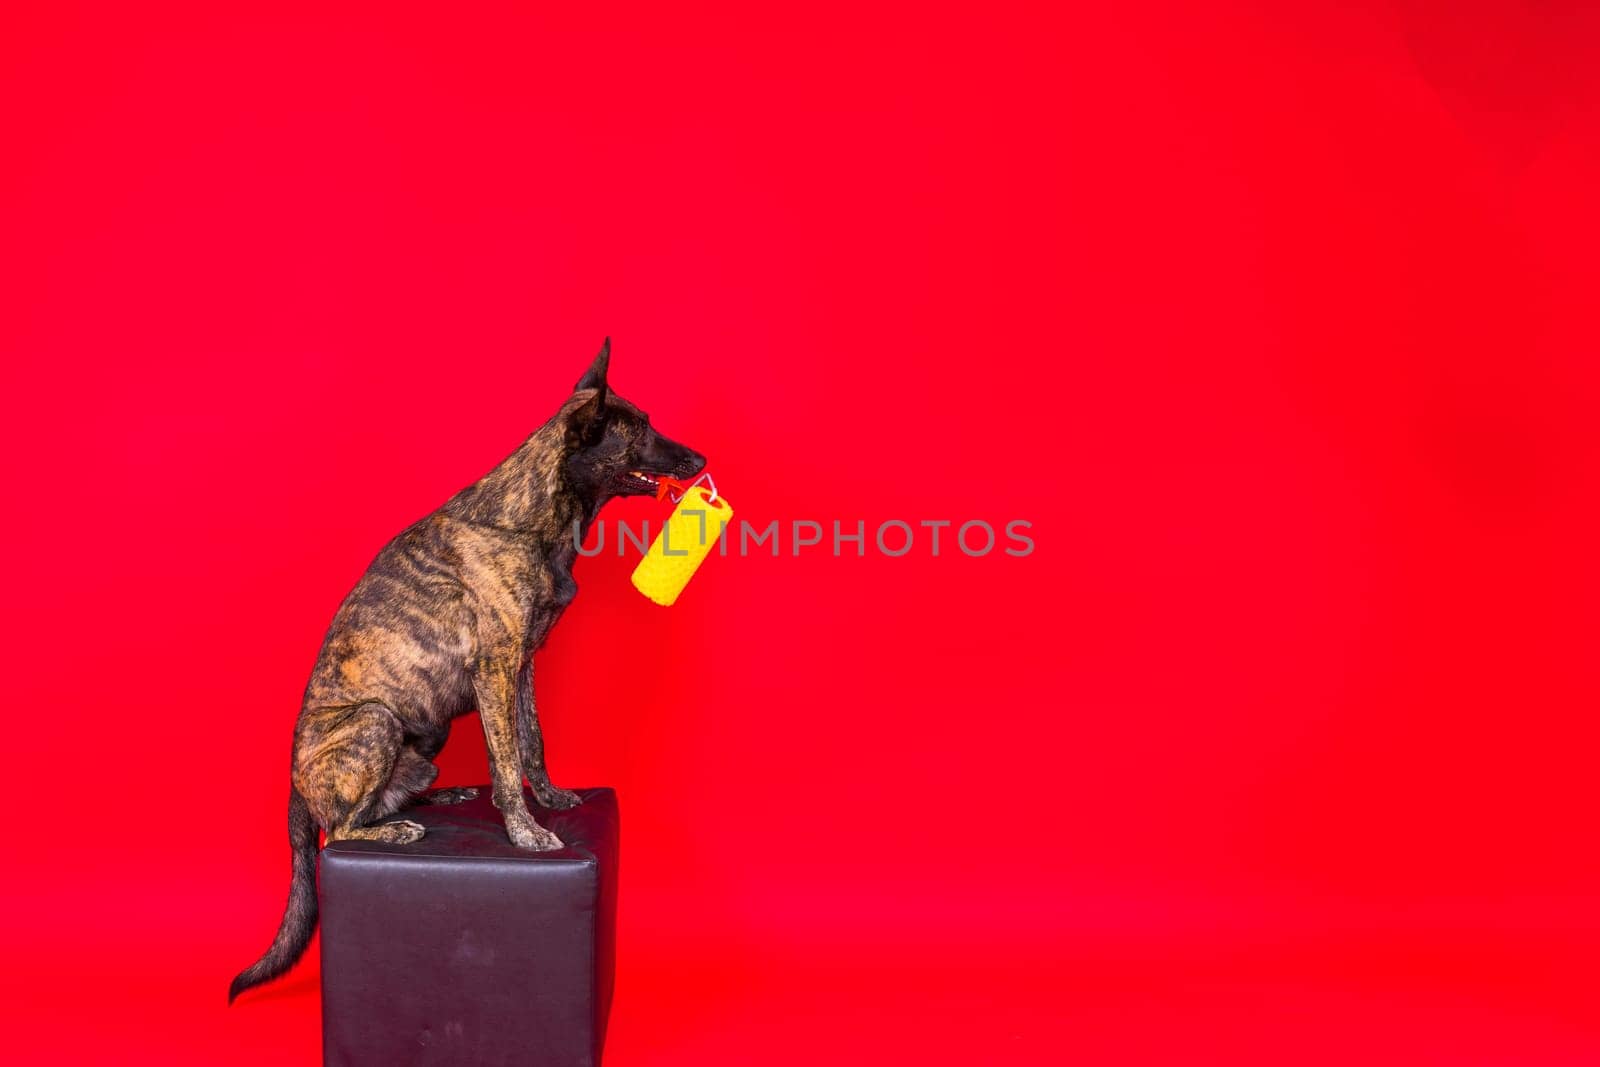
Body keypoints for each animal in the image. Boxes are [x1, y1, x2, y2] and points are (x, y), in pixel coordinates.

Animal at [228, 340, 704, 1004]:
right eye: (640, 430)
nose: (702, 459)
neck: (531, 514)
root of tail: (294, 788)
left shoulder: (522, 664)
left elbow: (532, 743)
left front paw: (551, 798)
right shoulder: (495, 664)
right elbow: (505, 763)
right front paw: (526, 833)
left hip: (425, 736)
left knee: (377, 805)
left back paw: (436, 796)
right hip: (374, 720)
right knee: (343, 827)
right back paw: (397, 831)